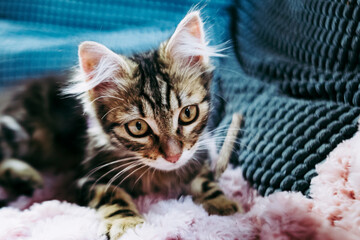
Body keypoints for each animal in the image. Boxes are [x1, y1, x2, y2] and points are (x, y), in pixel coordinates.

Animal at [0, 10, 242, 238]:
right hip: (18, 128)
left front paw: (223, 205)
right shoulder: (89, 178)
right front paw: (126, 224)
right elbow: (114, 195)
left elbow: (206, 182)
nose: (173, 157)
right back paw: (25, 175)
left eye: (188, 113)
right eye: (138, 127)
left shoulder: (197, 156)